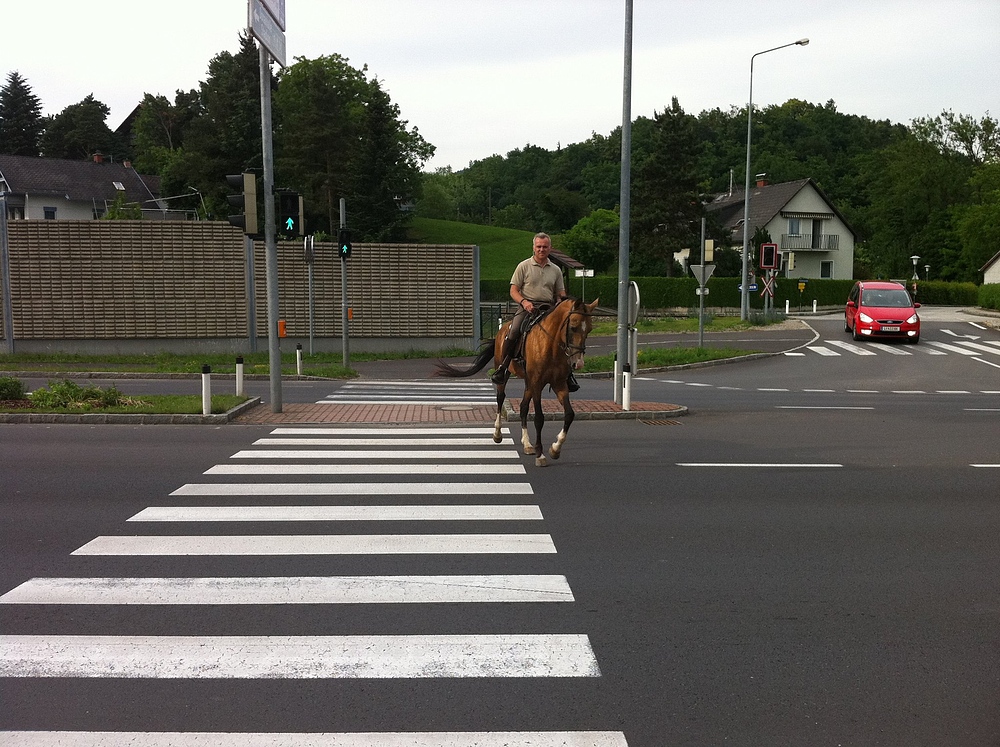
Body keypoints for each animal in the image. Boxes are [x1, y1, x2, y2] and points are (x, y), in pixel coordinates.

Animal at [434, 298, 596, 468]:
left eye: (589, 329)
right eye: (573, 327)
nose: (578, 363)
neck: (551, 345)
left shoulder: (559, 384)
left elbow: (569, 414)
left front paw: (555, 449)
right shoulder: (537, 384)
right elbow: (539, 419)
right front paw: (540, 455)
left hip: (528, 382)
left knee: (523, 407)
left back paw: (527, 444)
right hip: (506, 375)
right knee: (500, 399)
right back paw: (497, 434)